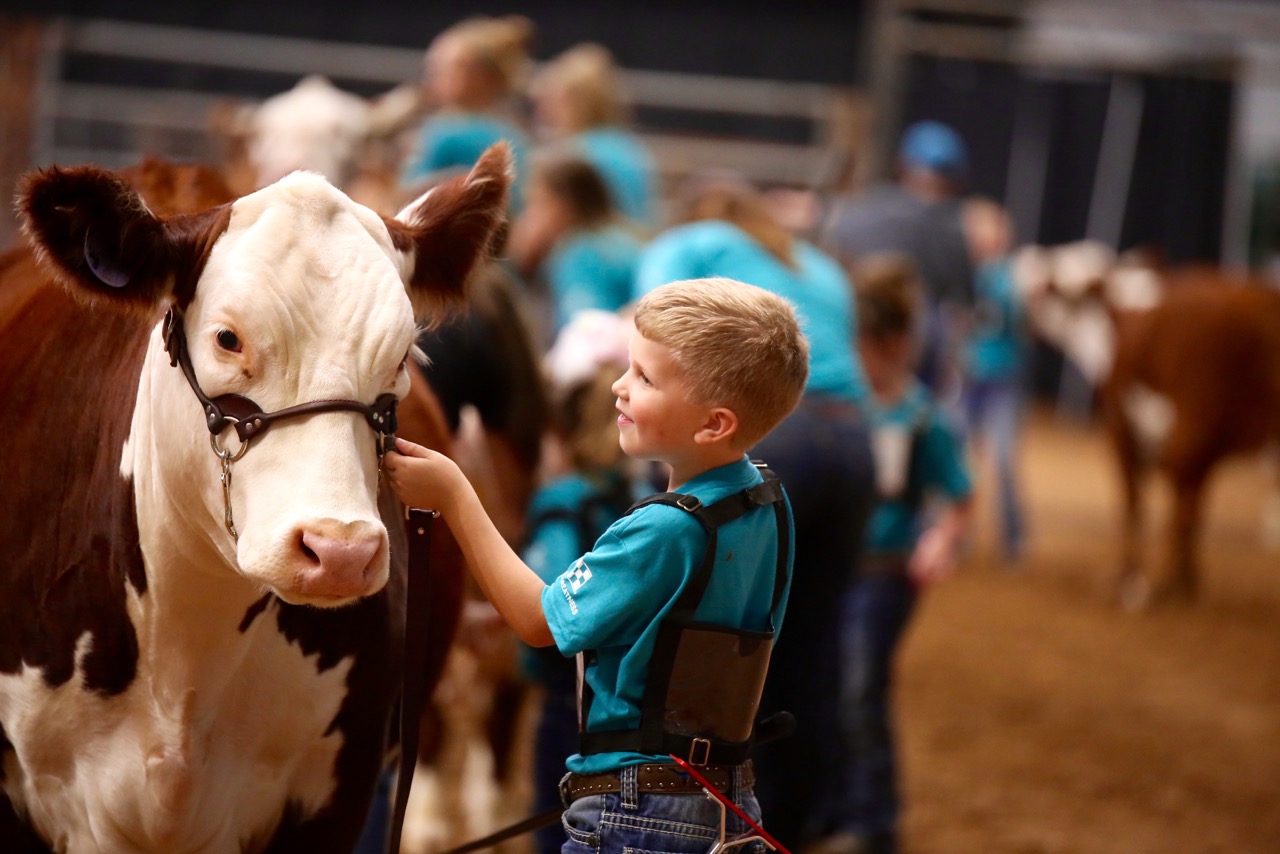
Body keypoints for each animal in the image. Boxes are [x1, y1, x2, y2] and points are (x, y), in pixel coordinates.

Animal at [1019, 243, 1280, 608]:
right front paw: (1185, 581)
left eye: (1052, 282)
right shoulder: (1201, 452)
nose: (1023, 260)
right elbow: (1191, 511)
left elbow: (1138, 507)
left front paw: (1134, 581)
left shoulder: (1135, 431)